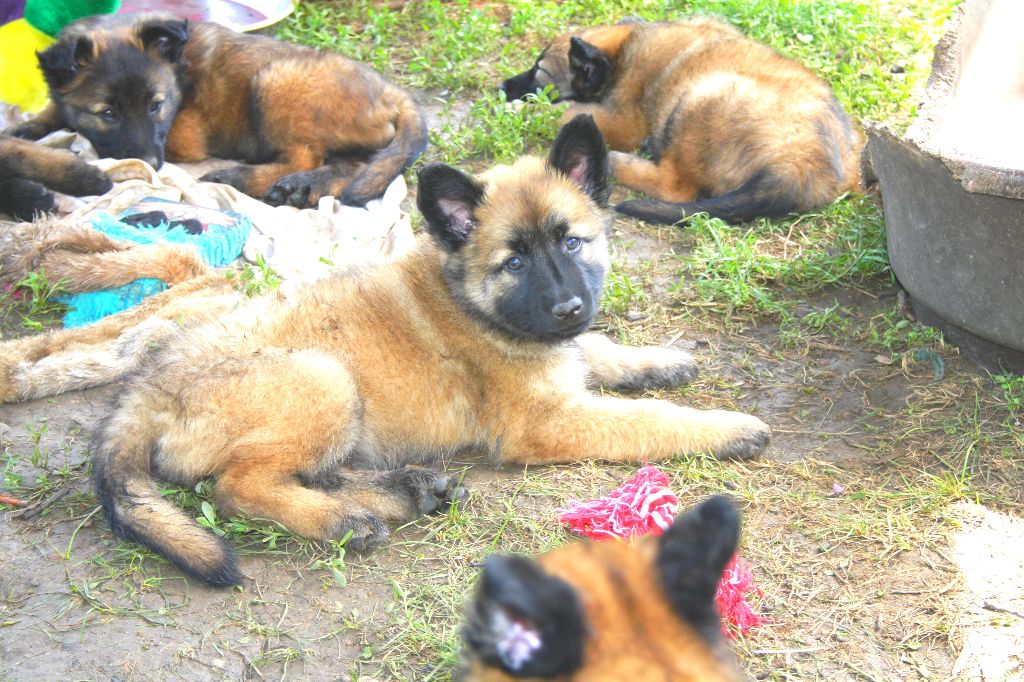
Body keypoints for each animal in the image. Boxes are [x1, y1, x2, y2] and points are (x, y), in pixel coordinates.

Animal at [9, 13, 427, 208]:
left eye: (157, 106)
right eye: (108, 114)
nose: (151, 165)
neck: (179, 71)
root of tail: (393, 93)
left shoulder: (184, 136)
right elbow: (55, 109)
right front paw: (27, 128)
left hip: (275, 80)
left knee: (303, 158)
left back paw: (240, 177)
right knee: (352, 166)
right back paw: (303, 187)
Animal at [51, 115, 768, 587]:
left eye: (572, 243)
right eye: (514, 261)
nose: (567, 306)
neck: (467, 299)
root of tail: (145, 388)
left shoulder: (561, 352)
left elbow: (599, 349)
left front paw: (657, 359)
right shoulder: (547, 421)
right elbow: (647, 420)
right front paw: (725, 427)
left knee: (310, 471)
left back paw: (403, 490)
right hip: (325, 379)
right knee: (238, 487)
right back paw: (343, 520)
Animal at [501, 17, 864, 224]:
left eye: (538, 71)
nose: (501, 86)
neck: (626, 45)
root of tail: (803, 168)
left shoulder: (621, 119)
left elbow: (562, 111)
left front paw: (519, 110)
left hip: (699, 97)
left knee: (677, 187)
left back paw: (620, 161)